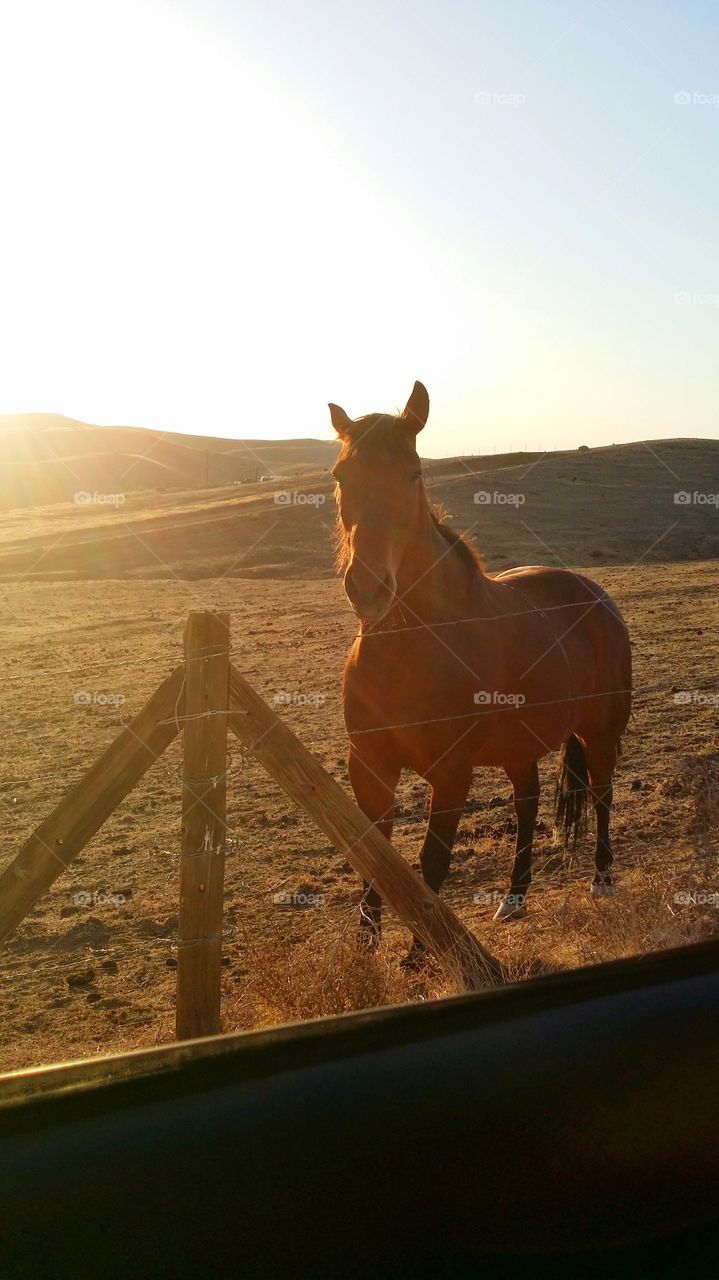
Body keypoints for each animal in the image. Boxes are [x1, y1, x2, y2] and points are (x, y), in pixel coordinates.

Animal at [329, 381, 632, 963]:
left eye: (413, 473)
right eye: (339, 476)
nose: (369, 588)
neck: (412, 644)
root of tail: (594, 597)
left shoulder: (451, 772)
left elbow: (431, 861)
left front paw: (420, 957)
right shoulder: (369, 763)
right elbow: (375, 853)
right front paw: (362, 950)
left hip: (600, 732)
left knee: (603, 796)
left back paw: (602, 882)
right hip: (521, 747)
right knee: (526, 806)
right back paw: (513, 897)